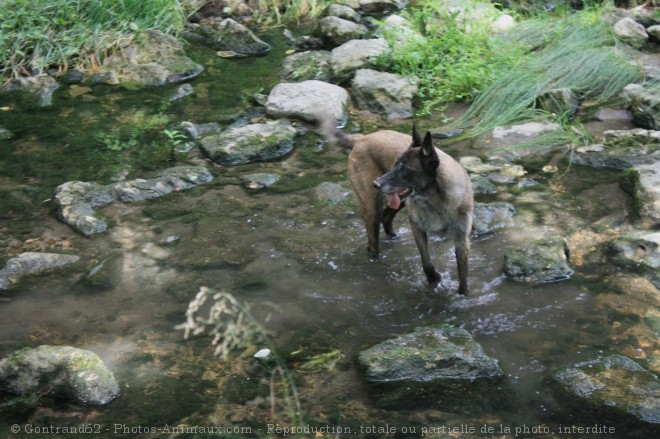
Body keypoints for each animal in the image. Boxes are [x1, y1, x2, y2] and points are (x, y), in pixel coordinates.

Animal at [320, 118, 472, 294]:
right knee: (373, 242)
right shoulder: (416, 226)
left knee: (386, 217)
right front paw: (434, 278)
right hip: (372, 209)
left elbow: (463, 275)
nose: (376, 184)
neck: (437, 201)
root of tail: (361, 138)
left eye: (403, 168)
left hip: (399, 202)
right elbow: (426, 261)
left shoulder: (461, 240)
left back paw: (393, 237)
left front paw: (462, 294)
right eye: (395, 165)